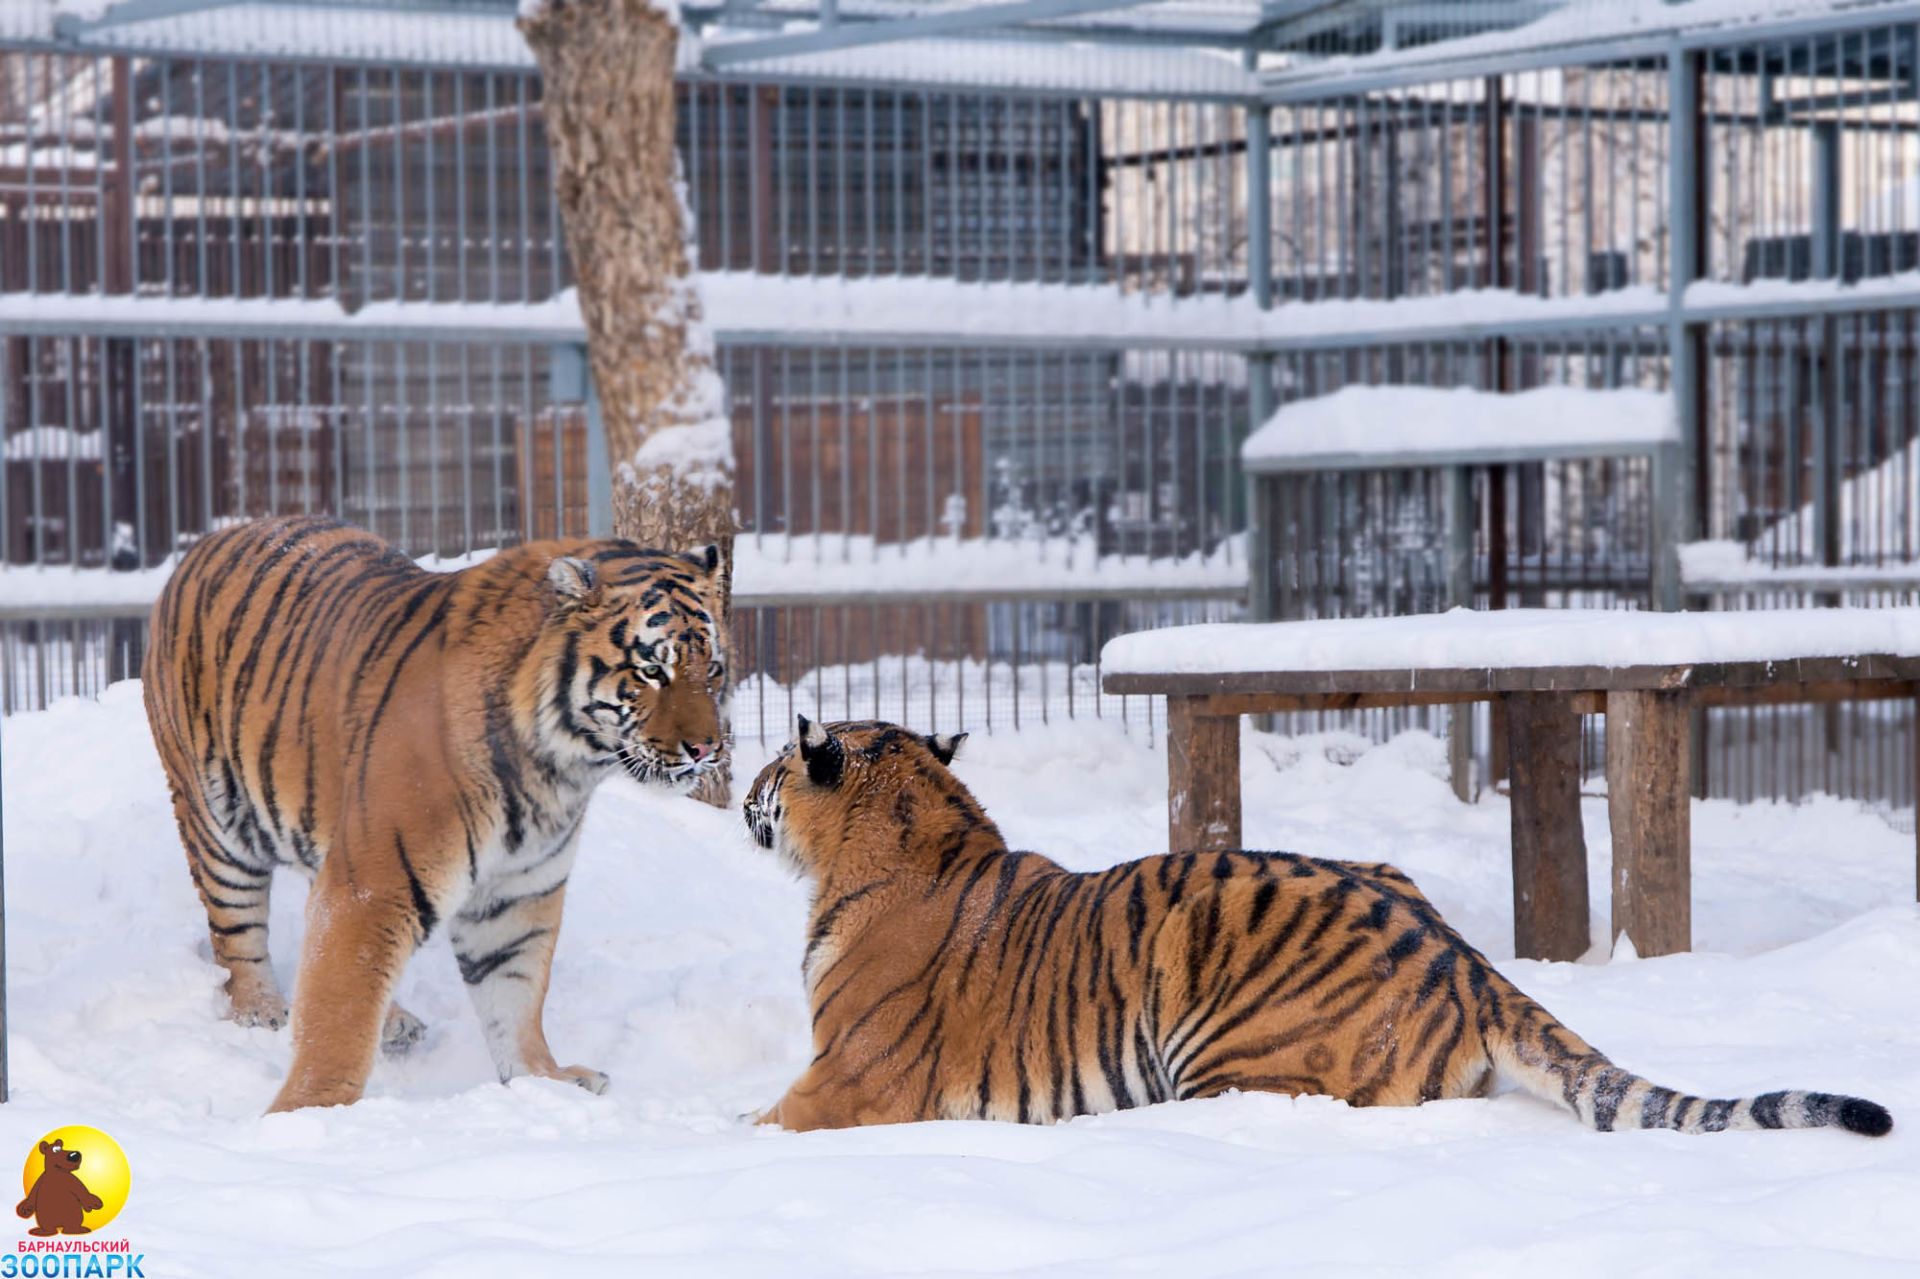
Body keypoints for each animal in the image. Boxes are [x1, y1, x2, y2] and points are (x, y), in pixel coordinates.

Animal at [145, 514, 729, 1113]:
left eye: (713, 669)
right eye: (652, 669)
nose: (707, 749)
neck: (557, 768)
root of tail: (214, 537)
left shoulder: (517, 893)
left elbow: (515, 998)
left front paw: (542, 1080)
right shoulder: (372, 887)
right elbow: (339, 1010)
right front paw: (306, 1112)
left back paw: (394, 1023)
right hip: (216, 824)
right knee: (236, 933)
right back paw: (261, 1009)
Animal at [737, 718, 1889, 1136]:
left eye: (777, 765)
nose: (742, 788)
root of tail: (1465, 960)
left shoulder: (845, 1080)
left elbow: (758, 1121)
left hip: (1219, 1036)